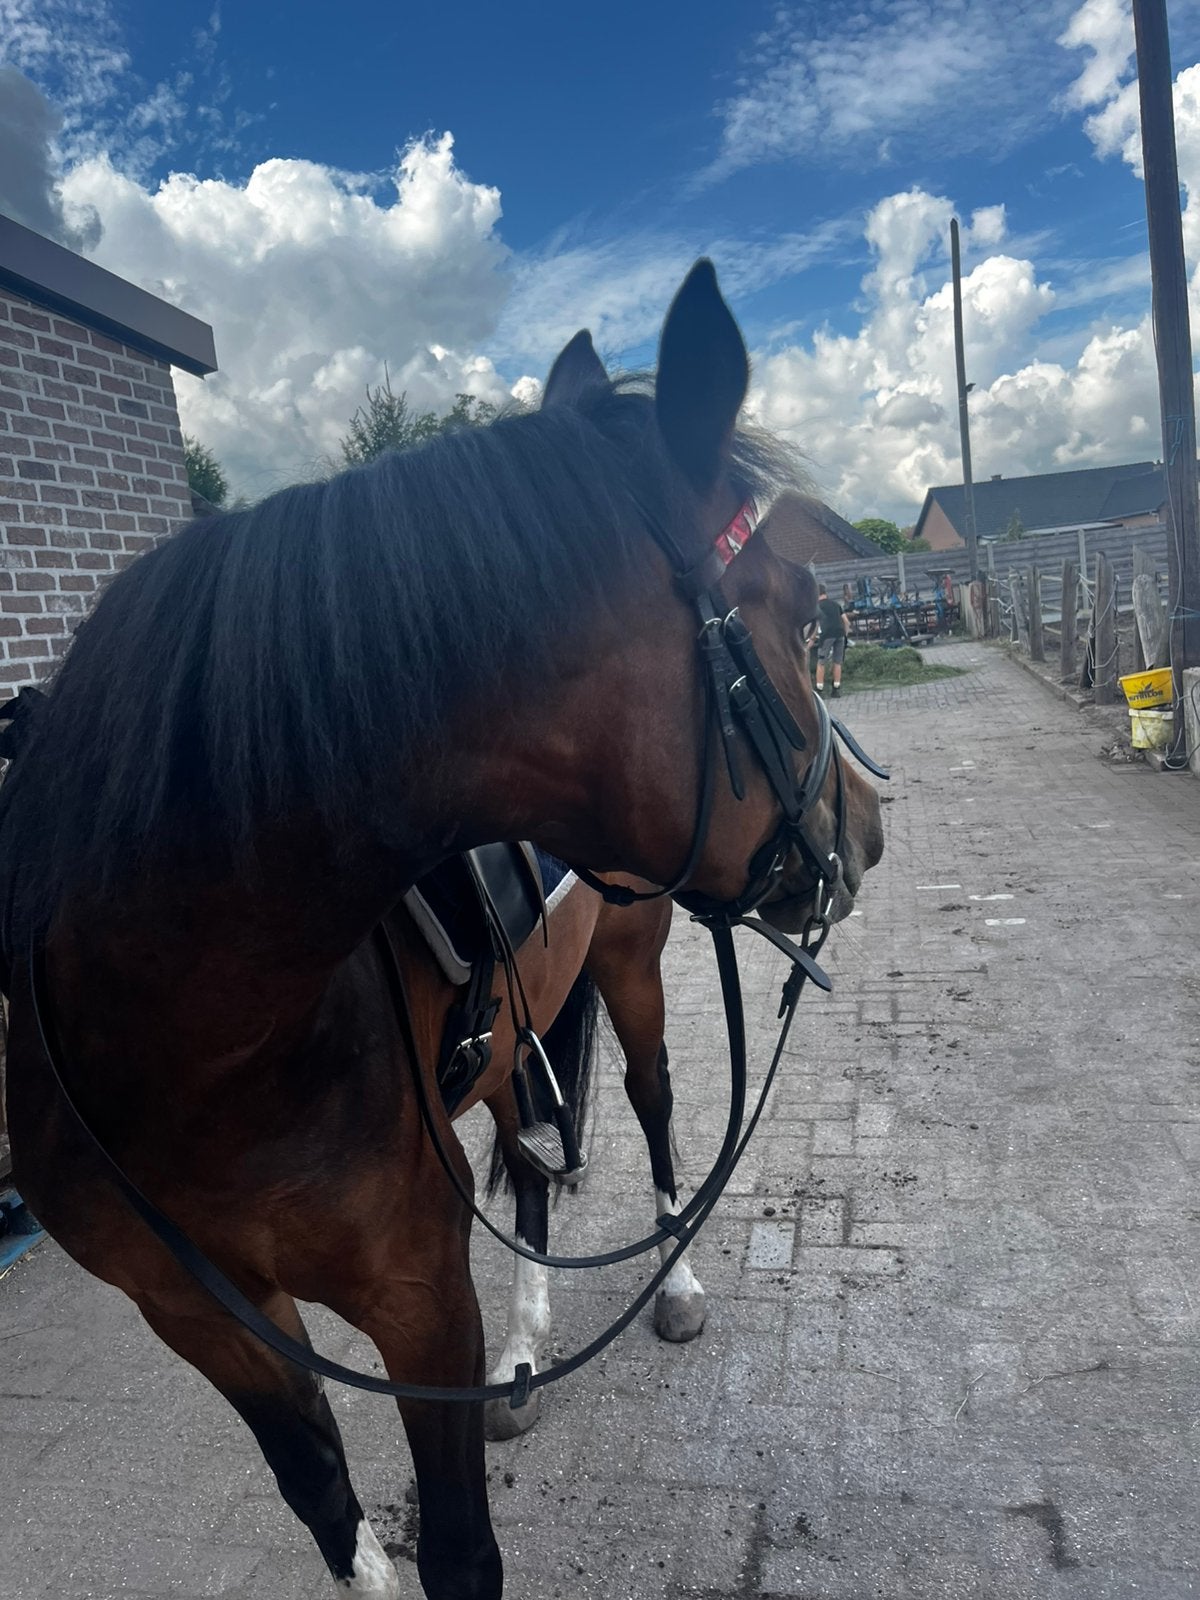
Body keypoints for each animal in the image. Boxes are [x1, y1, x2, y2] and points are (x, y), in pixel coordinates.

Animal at [0, 260, 884, 1599]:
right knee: (536, 1156)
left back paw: (672, 1285)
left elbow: (461, 1550)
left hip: (628, 969)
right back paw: (523, 1362)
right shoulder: (202, 1314)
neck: (189, 1031)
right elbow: (323, 1500)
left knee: (654, 1109)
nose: (867, 822)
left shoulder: (416, 1294)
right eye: (792, 604)